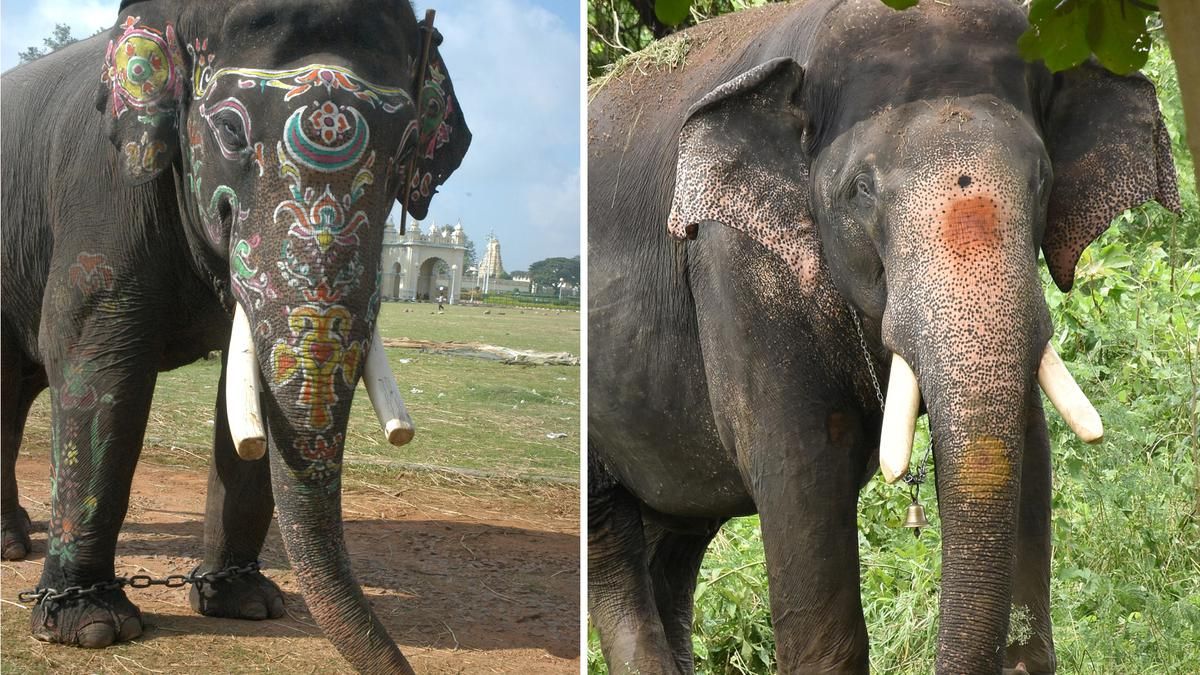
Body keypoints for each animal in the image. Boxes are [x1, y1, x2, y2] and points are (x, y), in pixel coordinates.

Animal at [1, 0, 469, 671]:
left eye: (407, 146)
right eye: (229, 131)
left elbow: (243, 390)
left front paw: (244, 604)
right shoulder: (103, 188)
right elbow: (97, 359)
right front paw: (90, 627)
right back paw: (14, 548)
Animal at [587, 0, 1178, 673]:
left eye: (1041, 180)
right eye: (861, 190)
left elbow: (1028, 451)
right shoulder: (736, 270)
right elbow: (801, 472)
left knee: (676, 542)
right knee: (614, 546)